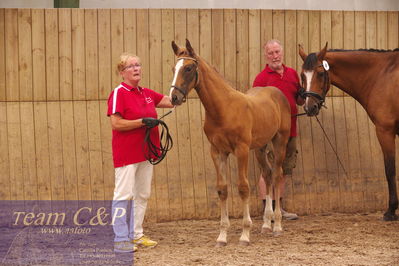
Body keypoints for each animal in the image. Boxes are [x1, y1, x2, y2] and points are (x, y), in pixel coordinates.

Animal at [169, 39, 290, 245]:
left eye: (189, 68)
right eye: (174, 68)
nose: (174, 97)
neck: (223, 108)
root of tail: (276, 92)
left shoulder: (241, 150)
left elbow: (243, 187)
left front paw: (245, 234)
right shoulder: (217, 152)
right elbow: (222, 189)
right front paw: (222, 236)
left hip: (279, 141)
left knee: (276, 175)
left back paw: (278, 225)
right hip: (260, 147)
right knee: (267, 174)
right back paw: (266, 224)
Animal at [300, 43, 399, 221]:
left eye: (320, 73)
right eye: (302, 76)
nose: (310, 107)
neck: (382, 75)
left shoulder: (385, 131)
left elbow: (390, 169)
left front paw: (391, 211)